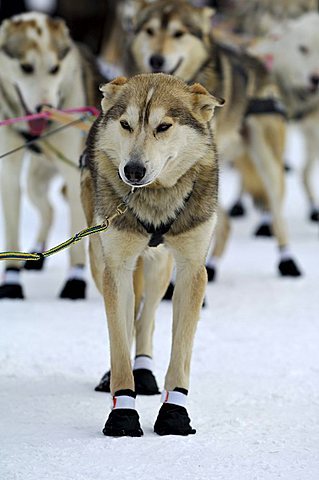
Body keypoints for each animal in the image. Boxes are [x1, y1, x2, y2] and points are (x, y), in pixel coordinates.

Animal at [0, 12, 102, 300]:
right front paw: (12, 281)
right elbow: (11, 232)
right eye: (26, 67)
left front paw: (75, 282)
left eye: (55, 68)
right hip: (35, 181)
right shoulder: (9, 173)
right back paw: (37, 252)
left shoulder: (75, 173)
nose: (44, 109)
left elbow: (78, 241)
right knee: (49, 210)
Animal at [81, 73, 224, 436]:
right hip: (99, 260)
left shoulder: (192, 270)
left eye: (163, 126)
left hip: (159, 269)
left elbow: (181, 351)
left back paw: (144, 370)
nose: (132, 170)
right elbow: (119, 344)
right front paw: (122, 412)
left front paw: (175, 413)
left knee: (146, 320)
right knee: (128, 319)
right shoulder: (116, 265)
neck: (155, 199)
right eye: (126, 124)